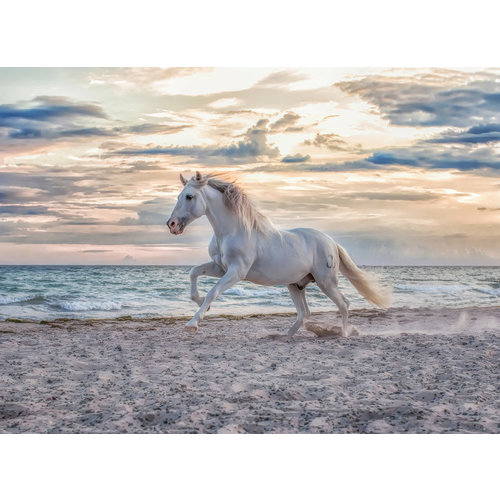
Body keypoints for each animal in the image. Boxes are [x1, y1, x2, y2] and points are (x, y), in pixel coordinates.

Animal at [166, 170, 392, 338]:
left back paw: (343, 334)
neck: (232, 231)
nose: (172, 224)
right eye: (178, 196)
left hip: (326, 282)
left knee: (344, 304)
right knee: (304, 312)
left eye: (189, 196)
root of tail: (331, 242)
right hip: (296, 284)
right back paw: (285, 335)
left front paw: (193, 323)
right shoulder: (220, 268)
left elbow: (213, 292)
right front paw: (200, 304)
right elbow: (194, 273)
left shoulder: (236, 272)